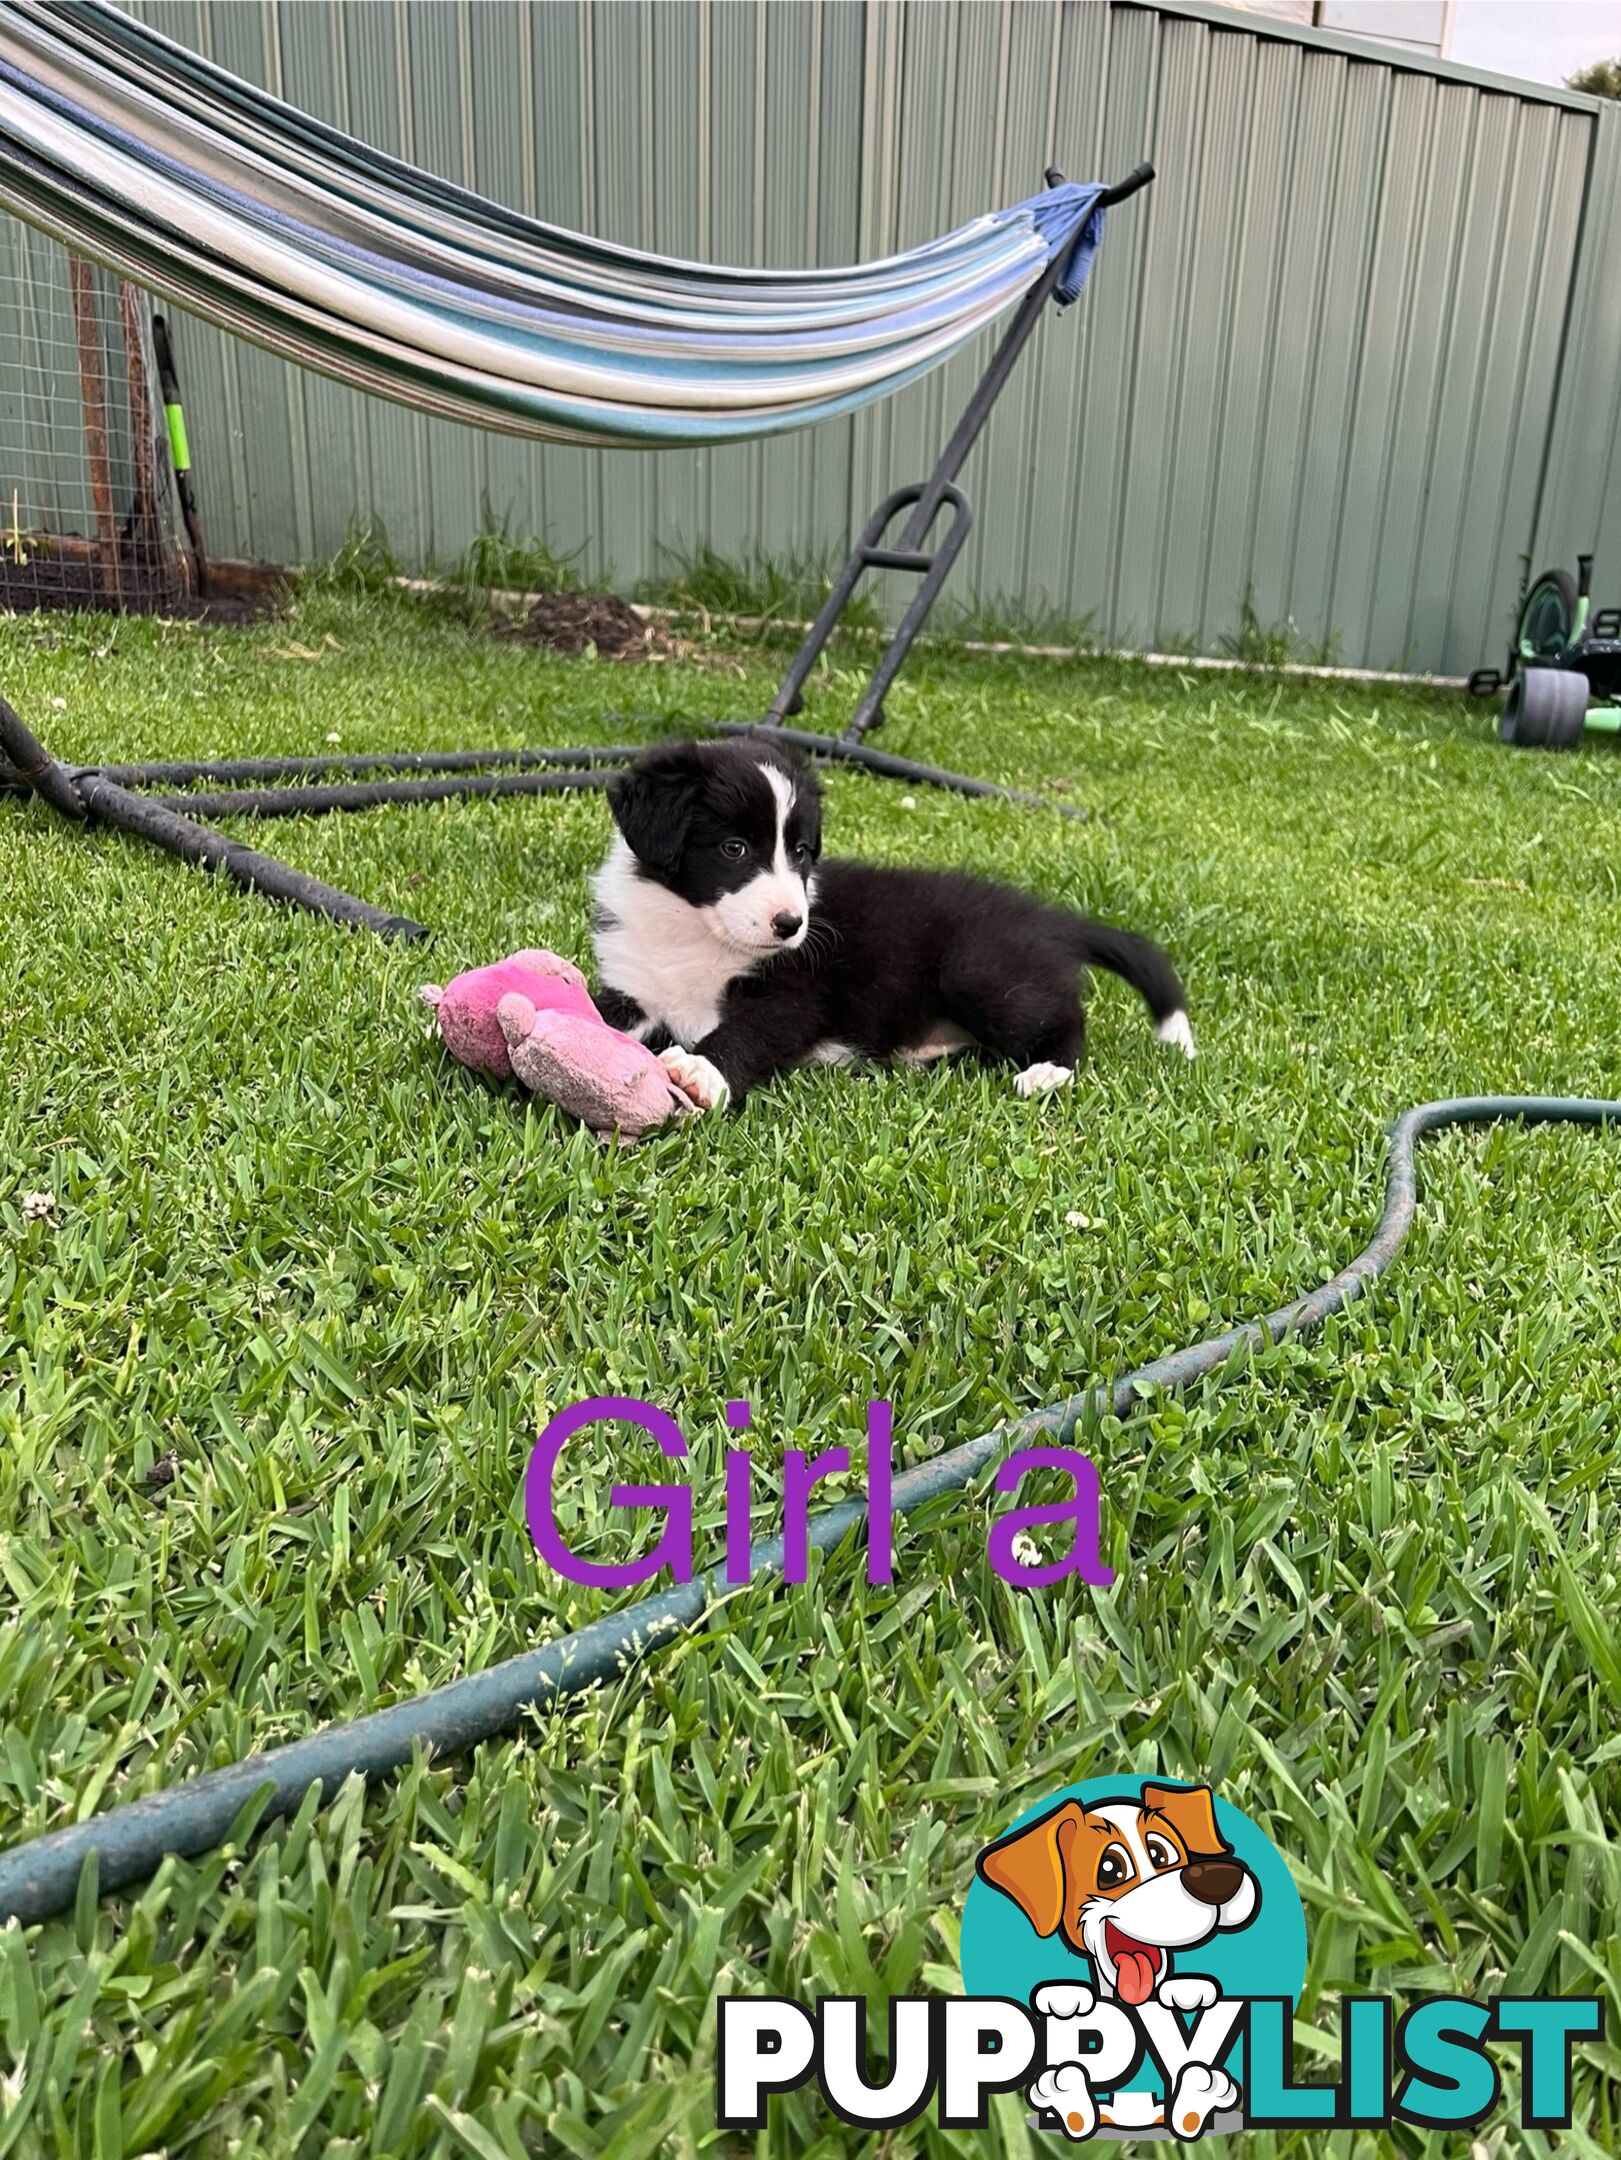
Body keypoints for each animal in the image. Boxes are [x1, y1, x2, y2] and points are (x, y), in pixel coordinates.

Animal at [592, 743, 1193, 1114]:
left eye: (802, 851)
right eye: (734, 848)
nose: (791, 925)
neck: (693, 931)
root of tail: (1048, 920)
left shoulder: (795, 992)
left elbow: (752, 1029)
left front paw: (701, 1070)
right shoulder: (633, 984)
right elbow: (599, 1013)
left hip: (978, 969)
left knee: (1065, 1019)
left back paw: (1046, 1072)